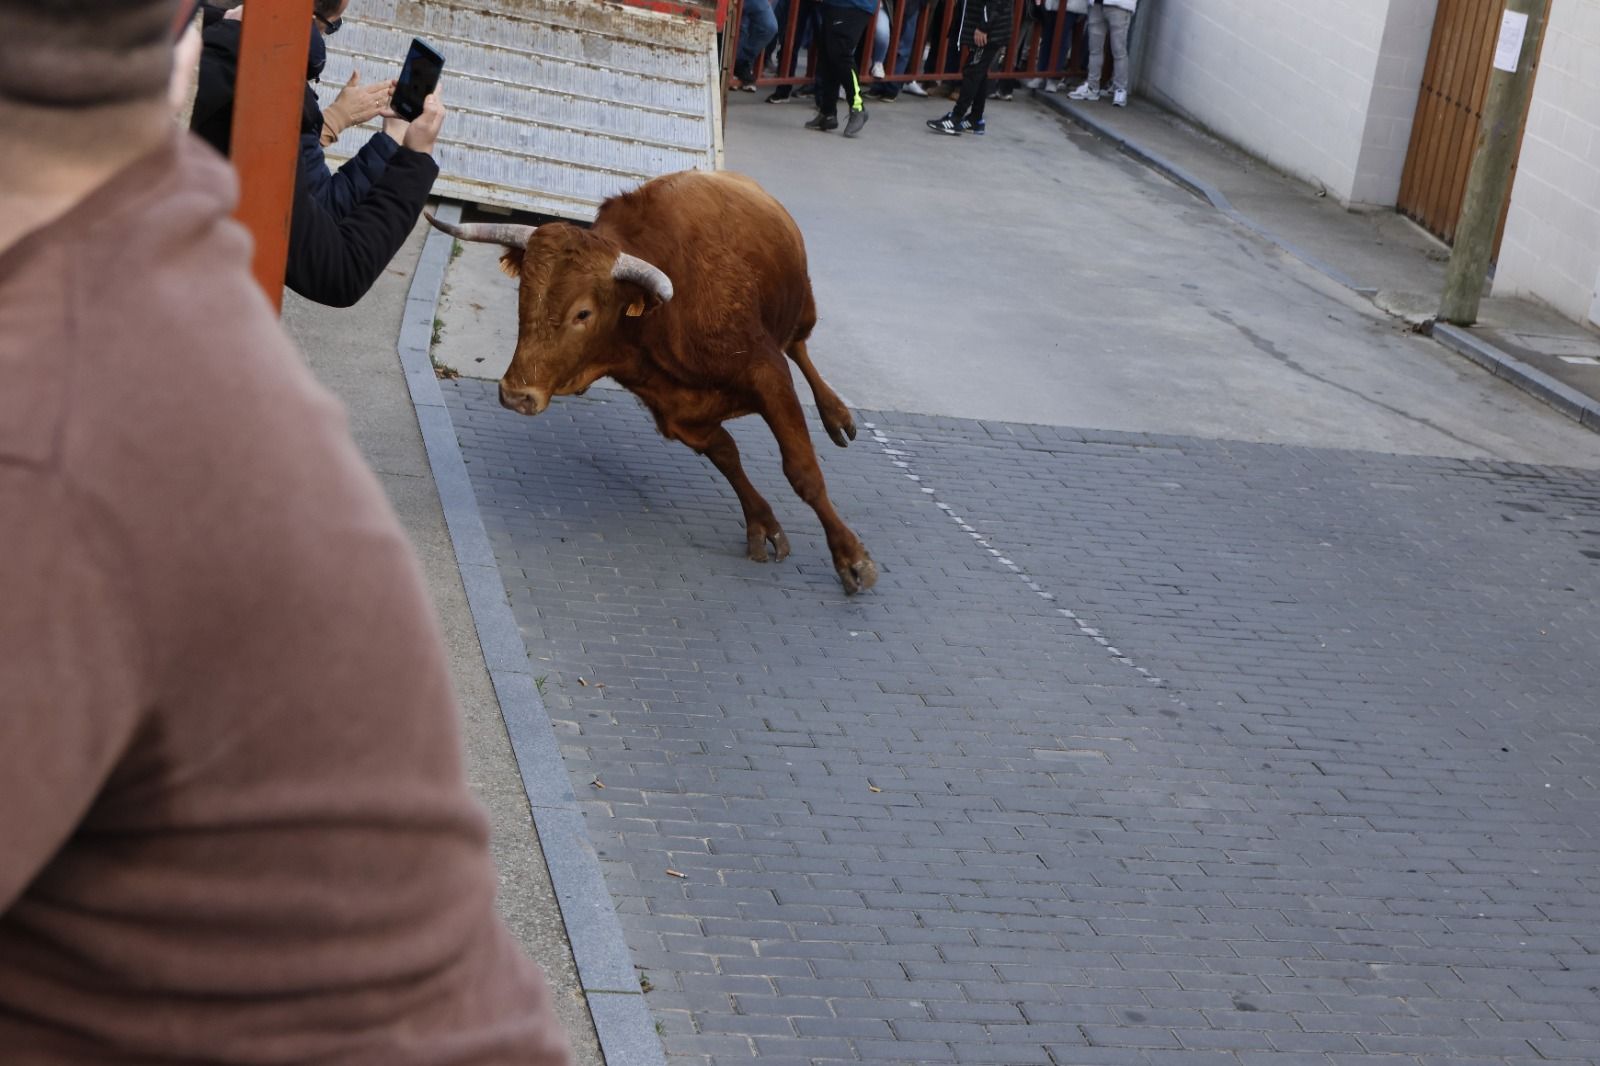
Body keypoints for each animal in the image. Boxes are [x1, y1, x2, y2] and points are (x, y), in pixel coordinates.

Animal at [432, 170, 883, 592]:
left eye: (583, 313)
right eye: (524, 297)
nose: (515, 395)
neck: (662, 319)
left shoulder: (768, 373)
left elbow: (803, 472)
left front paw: (851, 558)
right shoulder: (679, 412)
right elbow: (728, 457)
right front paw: (763, 524)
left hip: (802, 304)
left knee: (799, 347)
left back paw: (836, 415)